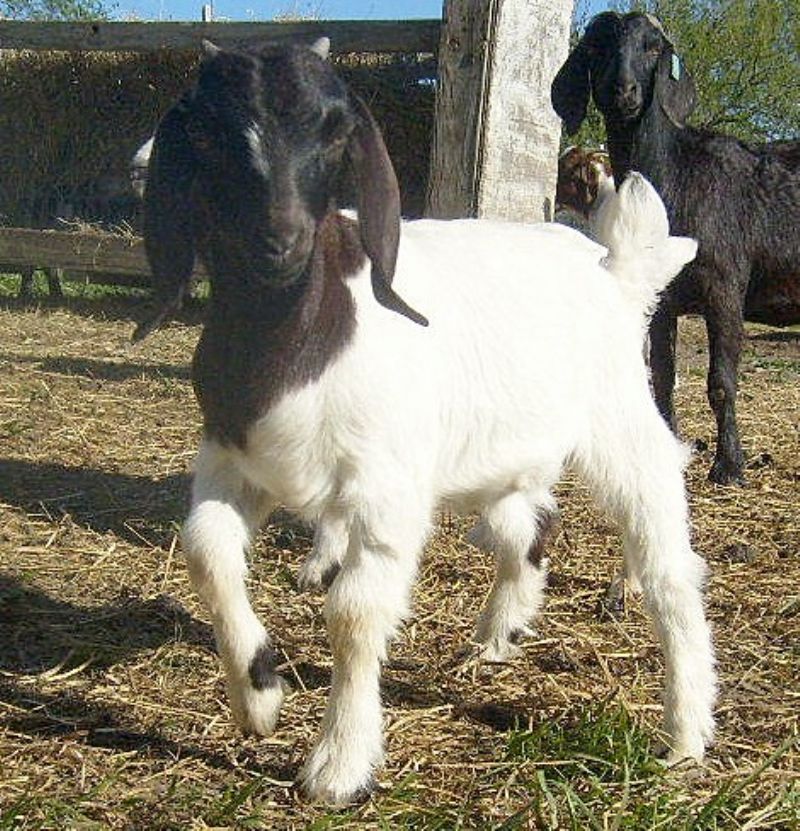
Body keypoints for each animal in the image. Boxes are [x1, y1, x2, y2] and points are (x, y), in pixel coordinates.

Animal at [135, 38, 715, 805]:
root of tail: (611, 267)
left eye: (334, 131)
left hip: (622, 422)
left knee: (669, 565)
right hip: (496, 452)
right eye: (205, 132)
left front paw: (339, 764)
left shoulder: (385, 489)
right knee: (529, 526)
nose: (278, 240)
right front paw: (258, 696)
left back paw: (685, 732)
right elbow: (205, 552)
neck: (301, 335)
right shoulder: (232, 459)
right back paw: (499, 634)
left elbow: (354, 612)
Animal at [552, 11, 800, 485]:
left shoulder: (725, 290)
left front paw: (729, 466)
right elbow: (663, 377)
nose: (623, 90)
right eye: (596, 47)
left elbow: (721, 382)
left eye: (653, 47)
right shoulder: (662, 299)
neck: (679, 175)